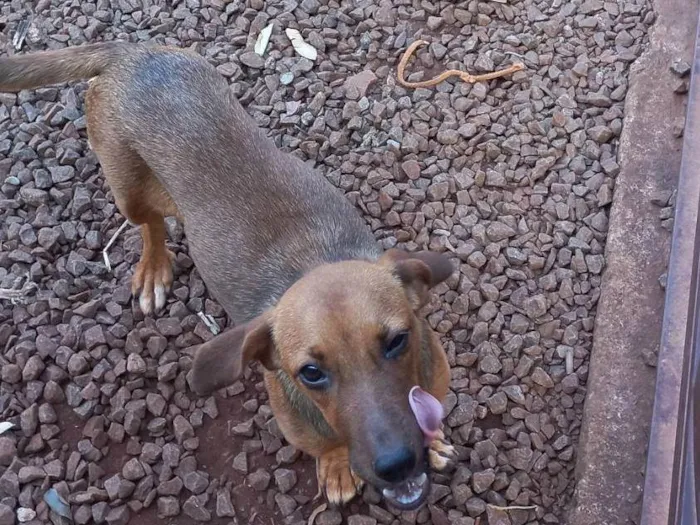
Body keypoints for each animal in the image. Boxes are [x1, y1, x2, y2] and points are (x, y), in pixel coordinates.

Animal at [0, 43, 456, 510]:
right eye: (310, 373)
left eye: (398, 341)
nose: (397, 464)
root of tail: (131, 50)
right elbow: (327, 446)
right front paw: (336, 465)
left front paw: (435, 442)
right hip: (126, 188)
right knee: (150, 225)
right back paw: (153, 269)